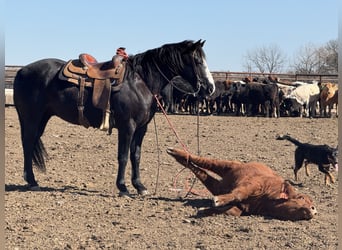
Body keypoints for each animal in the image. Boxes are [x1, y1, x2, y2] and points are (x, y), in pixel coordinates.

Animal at [14, 39, 216, 195]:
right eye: (197, 60)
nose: (210, 88)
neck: (140, 82)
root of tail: (21, 71)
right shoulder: (127, 126)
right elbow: (123, 156)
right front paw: (123, 187)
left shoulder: (141, 128)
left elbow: (136, 155)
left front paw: (140, 186)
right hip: (31, 118)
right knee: (27, 143)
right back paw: (32, 181)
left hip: (42, 118)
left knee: (31, 142)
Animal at [167, 147, 316, 220]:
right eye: (301, 198)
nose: (314, 209)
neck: (269, 199)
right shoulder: (253, 185)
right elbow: (239, 193)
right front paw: (218, 201)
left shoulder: (244, 207)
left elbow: (233, 210)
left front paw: (205, 210)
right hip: (226, 165)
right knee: (204, 161)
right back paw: (175, 152)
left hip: (217, 185)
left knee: (201, 173)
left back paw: (179, 158)